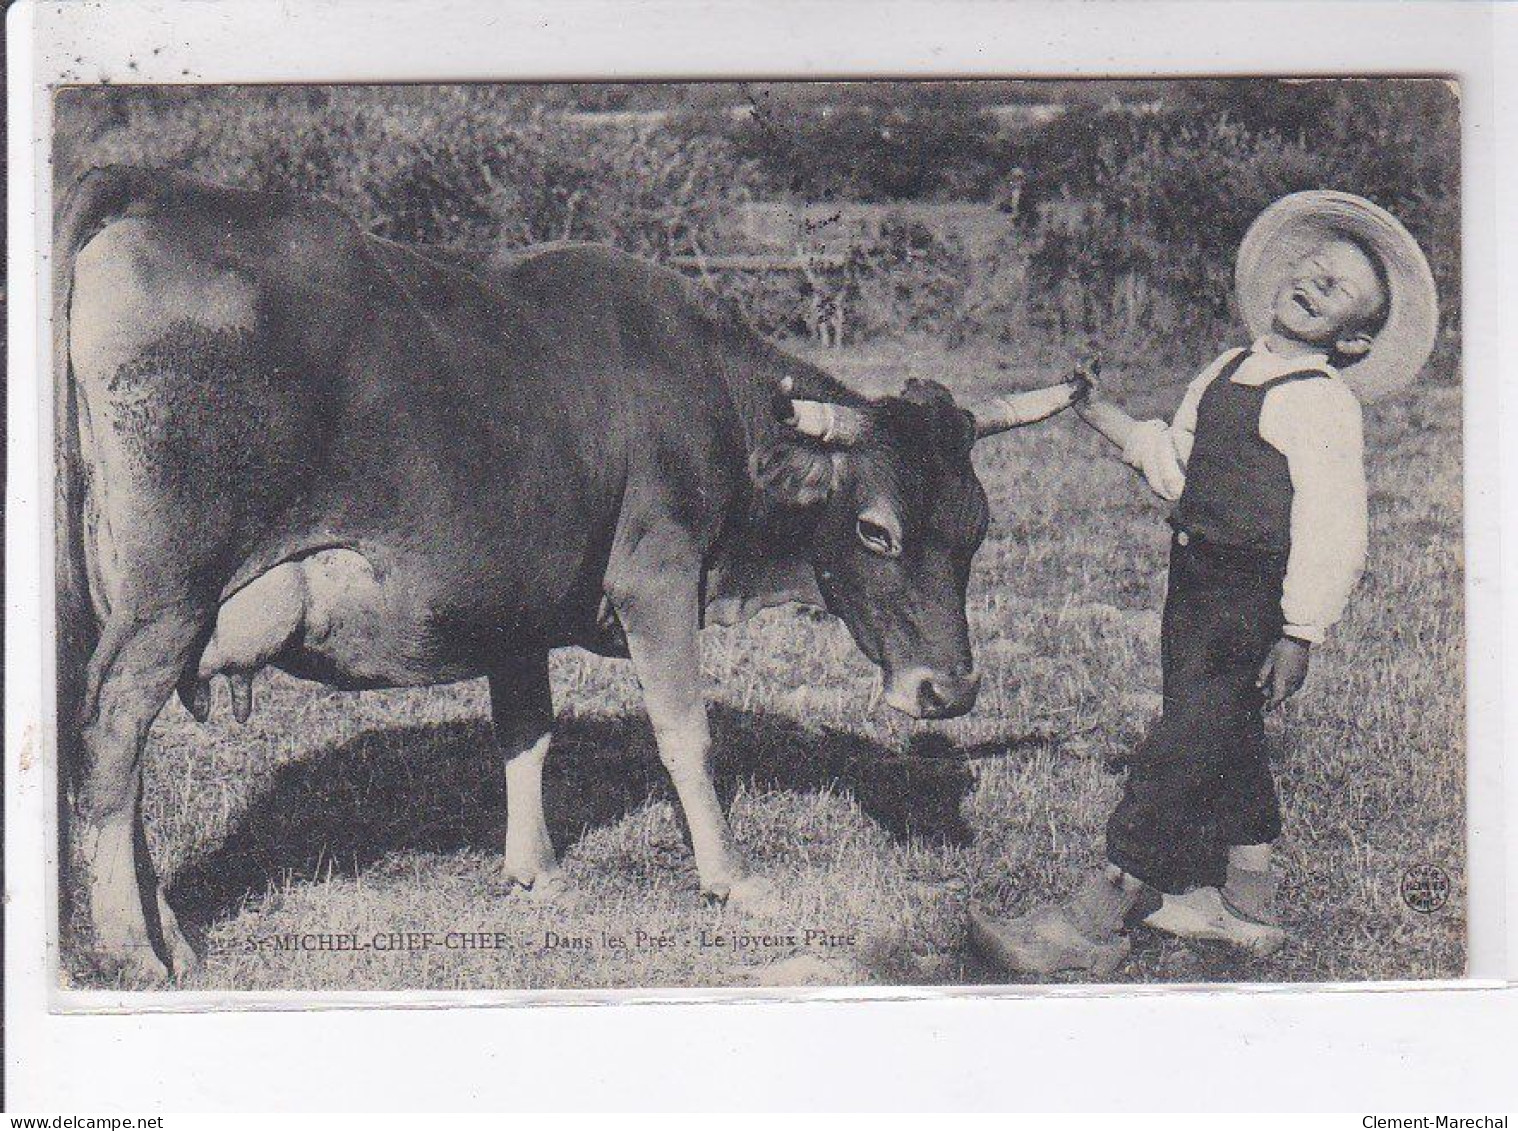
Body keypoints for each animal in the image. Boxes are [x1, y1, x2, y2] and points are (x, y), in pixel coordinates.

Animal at [53, 163, 1086, 983]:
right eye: (875, 531)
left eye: (978, 528)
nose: (949, 690)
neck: (702, 391)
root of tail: (154, 188)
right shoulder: (657, 578)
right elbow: (685, 732)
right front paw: (731, 874)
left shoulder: (512, 601)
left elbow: (527, 732)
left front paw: (536, 868)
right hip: (167, 600)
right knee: (111, 735)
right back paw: (133, 949)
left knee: (108, 748)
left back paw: (172, 935)